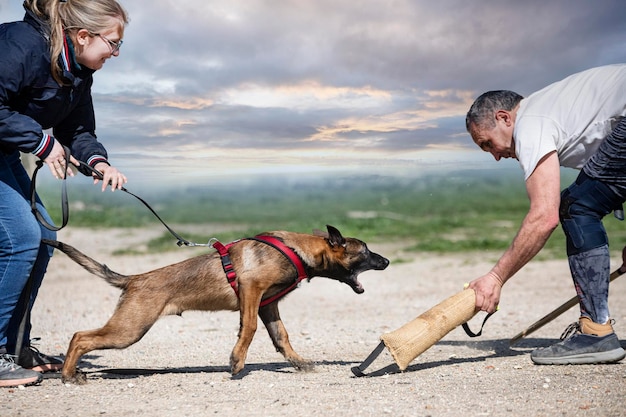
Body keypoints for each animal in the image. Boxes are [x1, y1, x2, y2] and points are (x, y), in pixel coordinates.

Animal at [42, 224, 386, 384]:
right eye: (365, 251)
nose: (386, 261)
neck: (295, 249)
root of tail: (134, 279)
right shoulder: (251, 291)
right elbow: (248, 329)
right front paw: (236, 361)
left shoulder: (267, 305)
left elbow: (281, 337)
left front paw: (299, 363)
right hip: (129, 329)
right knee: (80, 337)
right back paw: (68, 375)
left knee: (80, 336)